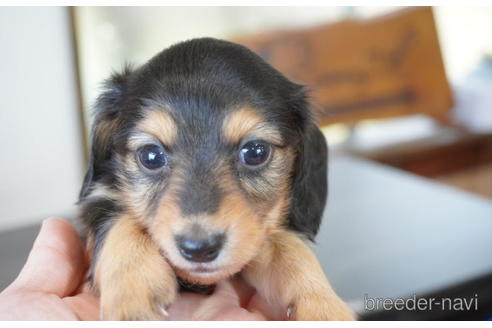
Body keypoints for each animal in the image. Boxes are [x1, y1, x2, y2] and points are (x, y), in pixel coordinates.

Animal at [78, 36, 354, 320]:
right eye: (150, 156)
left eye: (255, 152)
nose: (199, 249)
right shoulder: (99, 199)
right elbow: (118, 222)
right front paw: (133, 292)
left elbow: (291, 247)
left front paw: (323, 306)